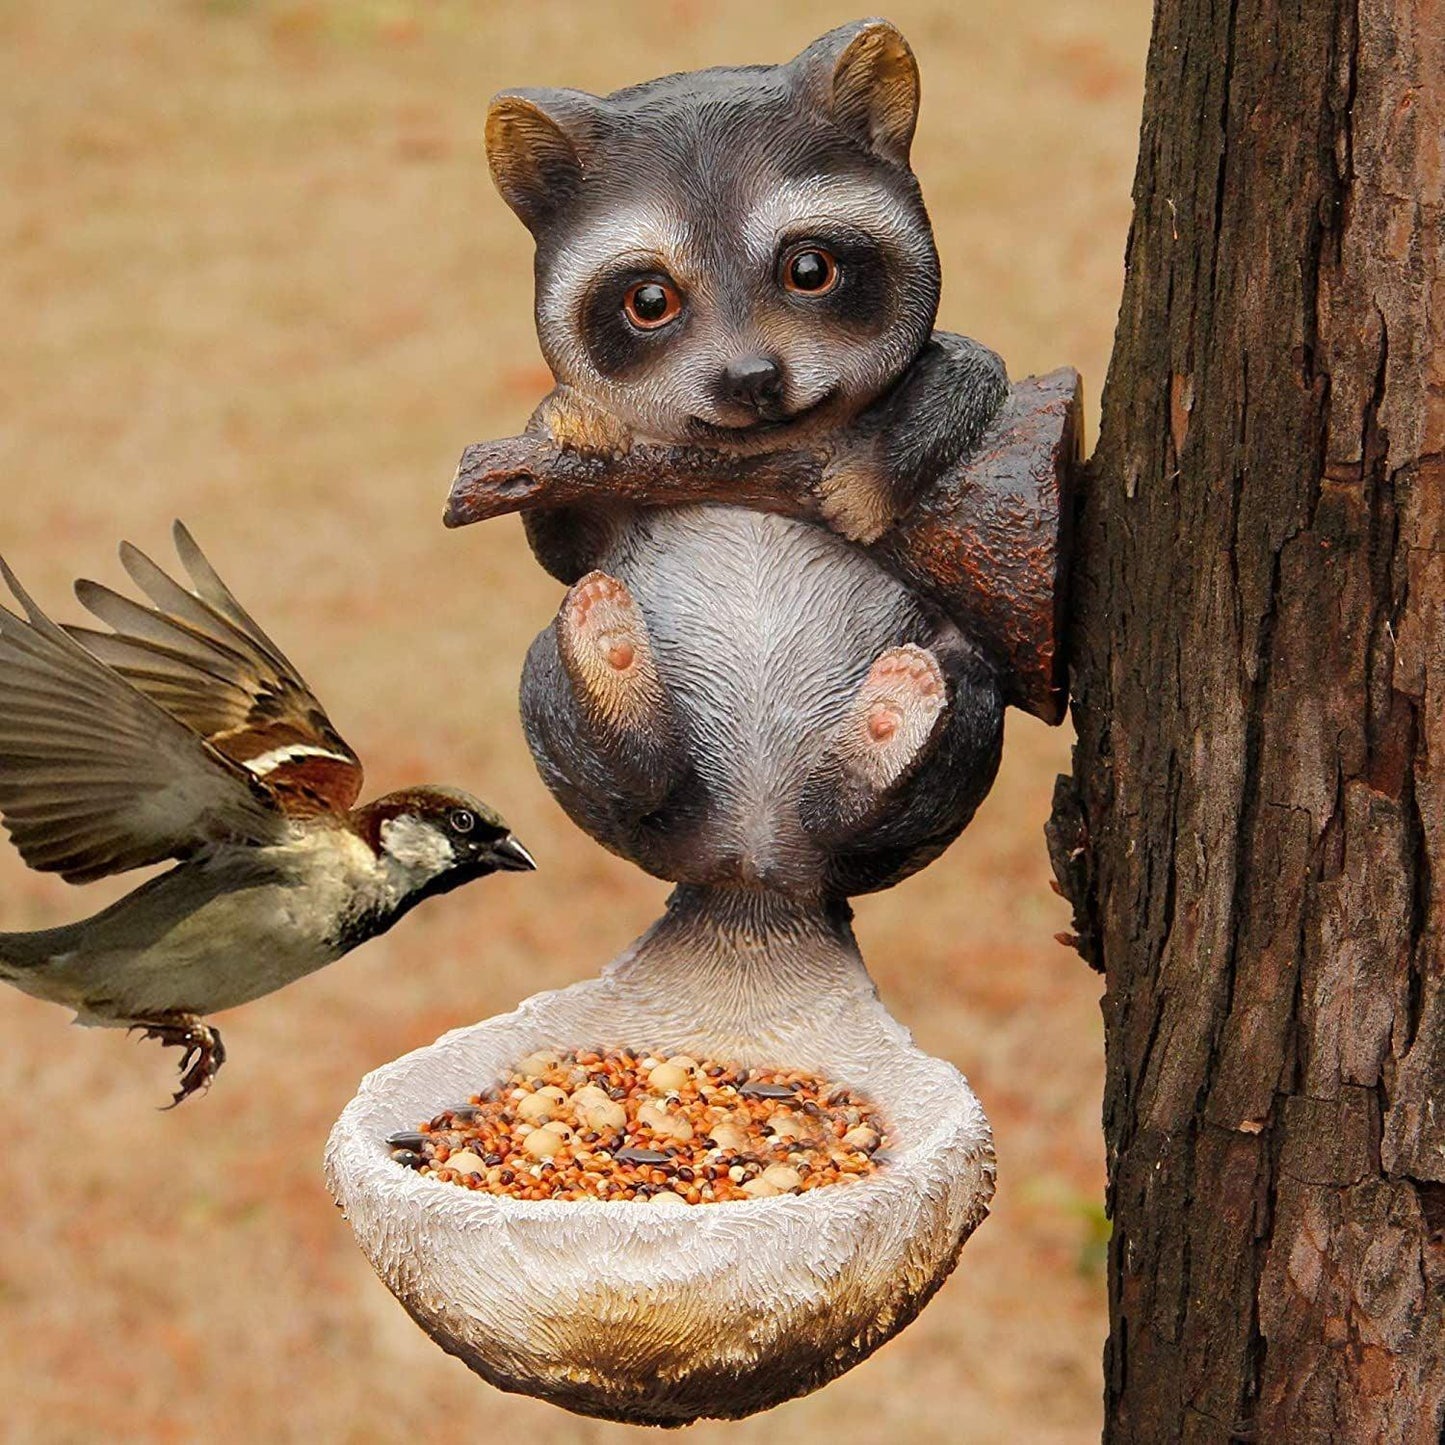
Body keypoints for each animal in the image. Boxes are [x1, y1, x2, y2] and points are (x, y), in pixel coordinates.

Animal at [482, 21, 1030, 903]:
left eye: (809, 270)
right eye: (649, 301)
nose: (750, 377)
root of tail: (754, 858)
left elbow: (974, 372)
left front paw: (874, 474)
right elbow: (558, 543)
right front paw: (572, 413)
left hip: (926, 761)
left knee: (947, 723)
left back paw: (884, 738)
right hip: (617, 779)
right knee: (603, 747)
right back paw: (611, 672)